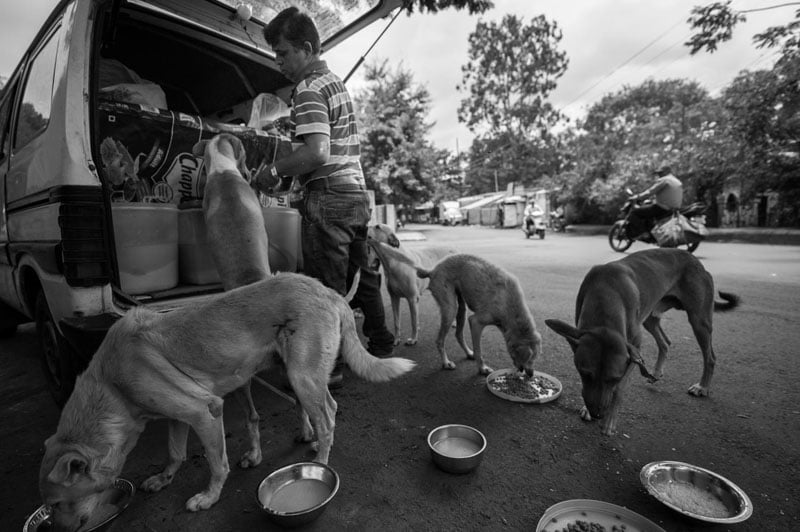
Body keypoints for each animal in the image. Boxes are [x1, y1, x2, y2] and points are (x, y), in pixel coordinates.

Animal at [38, 272, 416, 528]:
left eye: (58, 503)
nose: (59, 530)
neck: (111, 386)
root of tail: (326, 290)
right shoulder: (176, 416)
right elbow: (174, 451)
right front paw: (163, 478)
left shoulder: (204, 412)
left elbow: (217, 463)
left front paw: (208, 497)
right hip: (295, 372)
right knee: (321, 409)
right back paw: (308, 440)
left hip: (302, 375)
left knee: (328, 416)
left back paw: (321, 463)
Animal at [548, 248, 740, 436]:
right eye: (585, 374)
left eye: (614, 378)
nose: (597, 414)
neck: (605, 293)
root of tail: (696, 261)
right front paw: (588, 410)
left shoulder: (634, 350)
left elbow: (619, 390)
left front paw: (609, 421)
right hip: (650, 317)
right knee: (665, 342)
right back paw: (656, 372)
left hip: (699, 320)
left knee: (710, 357)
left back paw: (703, 387)